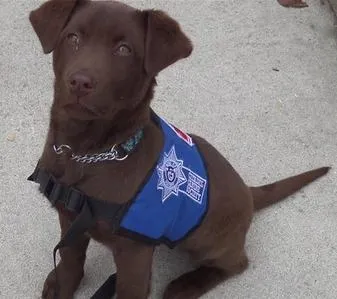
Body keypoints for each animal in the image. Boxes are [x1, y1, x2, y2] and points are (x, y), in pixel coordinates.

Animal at [28, 0, 328, 299]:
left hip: (205, 238)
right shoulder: (69, 219)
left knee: (237, 262)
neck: (84, 153)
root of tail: (249, 193)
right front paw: (61, 284)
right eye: (73, 38)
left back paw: (185, 285)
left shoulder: (133, 252)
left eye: (124, 49)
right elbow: (70, 260)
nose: (79, 81)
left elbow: (129, 289)